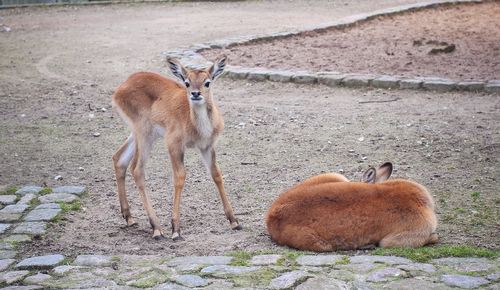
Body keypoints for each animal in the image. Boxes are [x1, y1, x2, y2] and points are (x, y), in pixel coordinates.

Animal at [112, 55, 241, 240]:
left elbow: (216, 174)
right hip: (144, 134)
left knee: (119, 158)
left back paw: (129, 218)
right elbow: (180, 177)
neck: (197, 127)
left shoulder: (207, 146)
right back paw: (157, 228)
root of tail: (120, 89)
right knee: (136, 169)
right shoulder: (174, 144)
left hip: (140, 134)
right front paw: (175, 229)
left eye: (207, 82)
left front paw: (234, 221)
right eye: (187, 82)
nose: (195, 93)